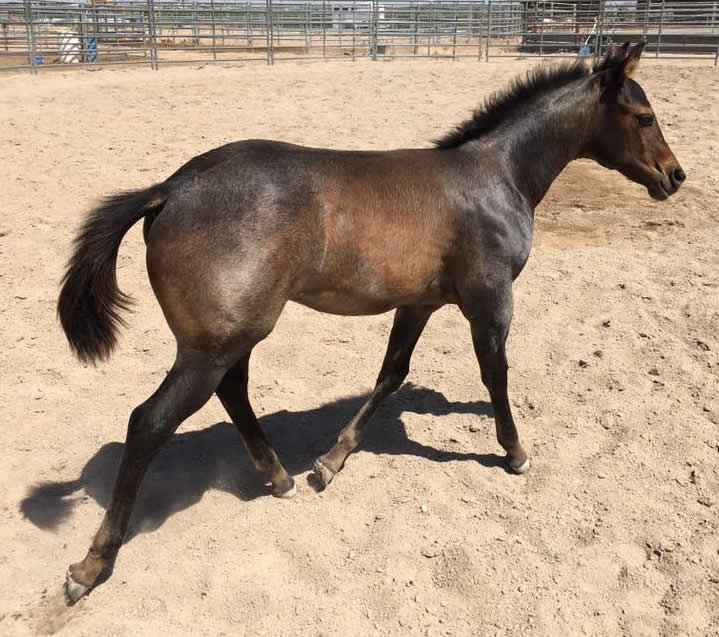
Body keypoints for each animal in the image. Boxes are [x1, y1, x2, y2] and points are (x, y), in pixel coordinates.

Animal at [57, 42, 684, 603]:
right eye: (644, 115)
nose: (674, 176)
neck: (497, 177)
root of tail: (170, 189)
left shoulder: (419, 303)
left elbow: (391, 375)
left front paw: (330, 464)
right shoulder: (491, 300)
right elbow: (495, 375)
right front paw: (515, 452)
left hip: (231, 336)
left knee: (232, 391)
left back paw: (280, 478)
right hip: (214, 344)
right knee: (149, 422)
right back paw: (91, 567)